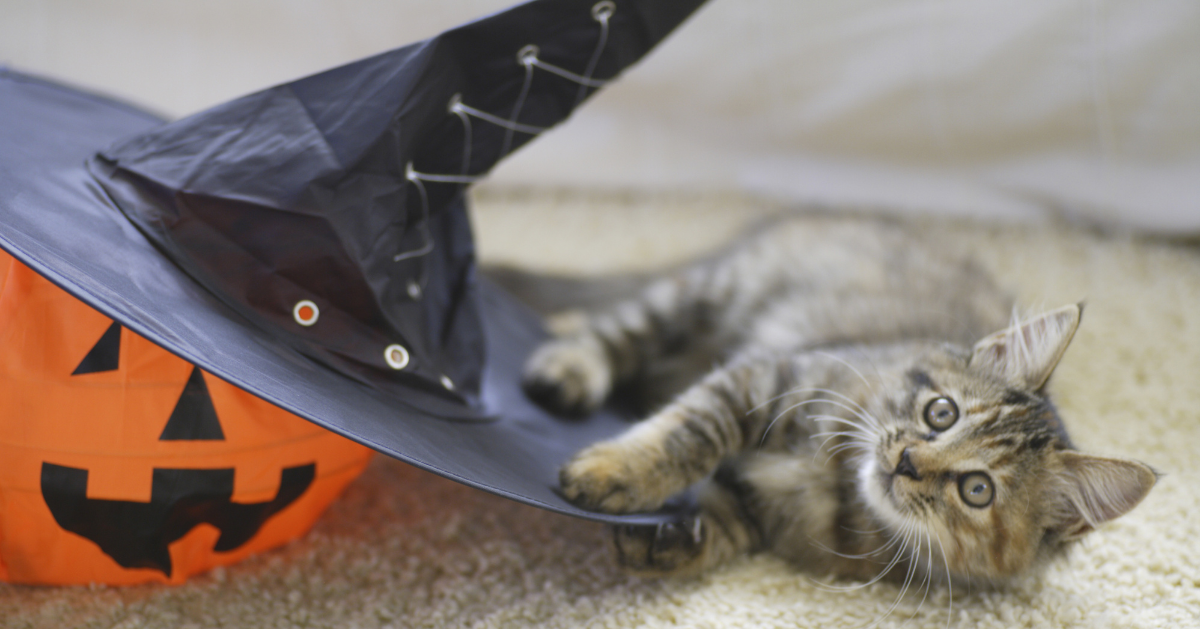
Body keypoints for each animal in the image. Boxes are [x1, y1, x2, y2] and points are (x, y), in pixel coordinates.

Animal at [520, 214, 1156, 585]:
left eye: (977, 490)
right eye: (941, 413)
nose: (906, 461)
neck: (837, 488)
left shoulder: (759, 512)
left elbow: (720, 526)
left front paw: (666, 541)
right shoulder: (767, 378)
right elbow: (688, 434)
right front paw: (612, 471)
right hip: (708, 293)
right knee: (616, 329)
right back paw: (566, 371)